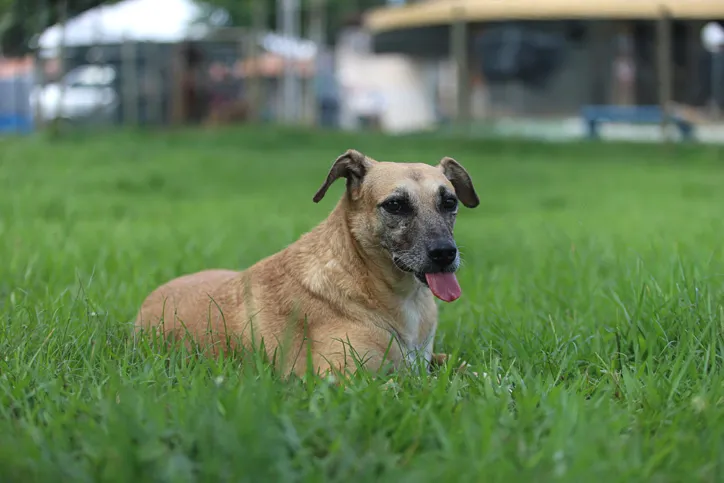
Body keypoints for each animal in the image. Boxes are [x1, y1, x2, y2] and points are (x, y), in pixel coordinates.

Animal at [133, 149, 478, 380]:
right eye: (395, 205)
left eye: (449, 202)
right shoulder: (340, 378)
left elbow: (468, 367)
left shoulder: (427, 358)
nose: (445, 254)